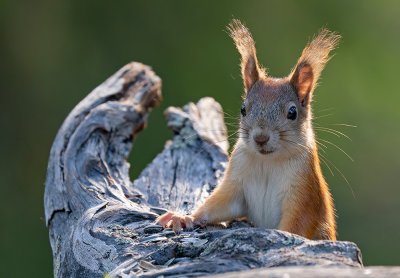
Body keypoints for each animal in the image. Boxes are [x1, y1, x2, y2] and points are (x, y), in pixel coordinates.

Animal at [156, 20, 340, 241]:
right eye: (243, 109)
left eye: (292, 112)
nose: (260, 138)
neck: (267, 162)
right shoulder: (236, 181)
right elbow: (218, 205)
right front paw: (185, 217)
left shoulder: (304, 192)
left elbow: (296, 225)